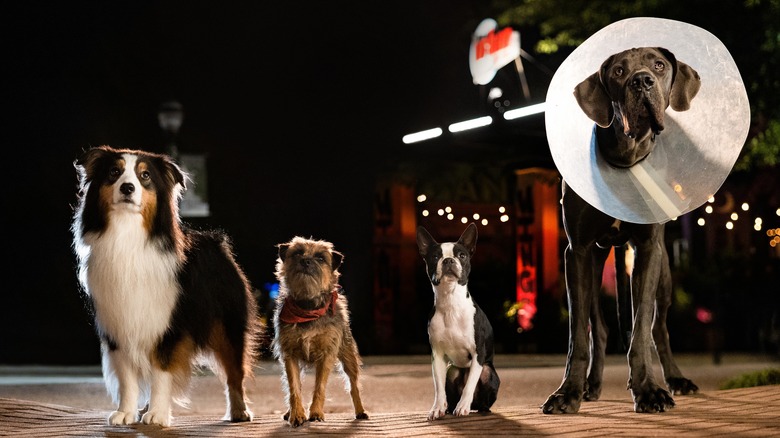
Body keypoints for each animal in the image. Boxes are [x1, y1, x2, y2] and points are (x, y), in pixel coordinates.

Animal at [71, 145, 258, 426]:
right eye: (114, 172)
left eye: (145, 176)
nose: (127, 187)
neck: (128, 237)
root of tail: (216, 241)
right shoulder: (118, 324)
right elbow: (127, 377)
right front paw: (126, 412)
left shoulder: (169, 326)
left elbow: (162, 369)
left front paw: (158, 415)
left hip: (228, 324)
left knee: (234, 370)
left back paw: (239, 412)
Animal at [414, 224, 500, 420]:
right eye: (435, 256)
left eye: (461, 255)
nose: (448, 260)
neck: (451, 303)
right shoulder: (437, 356)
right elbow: (439, 388)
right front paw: (438, 408)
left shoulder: (478, 354)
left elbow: (469, 386)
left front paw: (462, 407)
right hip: (452, 370)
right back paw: (448, 408)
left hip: (487, 371)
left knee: (481, 395)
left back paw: (480, 408)